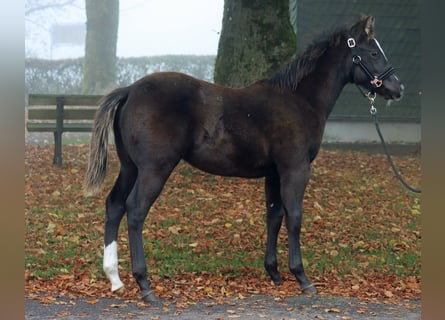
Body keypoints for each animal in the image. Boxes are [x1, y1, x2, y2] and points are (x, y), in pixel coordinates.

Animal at [83, 16, 402, 302]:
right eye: (373, 52)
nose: (398, 88)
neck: (298, 100)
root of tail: (129, 90)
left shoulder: (274, 173)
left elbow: (274, 216)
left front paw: (274, 273)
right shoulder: (295, 170)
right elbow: (294, 218)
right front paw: (302, 277)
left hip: (131, 168)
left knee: (114, 205)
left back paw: (115, 278)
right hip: (154, 169)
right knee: (135, 210)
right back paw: (144, 285)